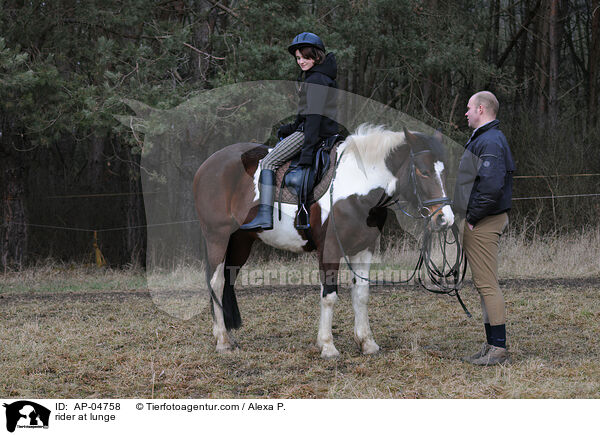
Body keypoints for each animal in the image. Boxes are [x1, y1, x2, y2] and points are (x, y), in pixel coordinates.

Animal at [193, 123, 454, 358]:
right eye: (423, 171)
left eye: (444, 172)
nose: (445, 219)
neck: (357, 185)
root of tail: (207, 165)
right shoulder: (329, 250)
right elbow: (329, 296)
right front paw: (328, 346)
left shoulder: (364, 250)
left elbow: (361, 294)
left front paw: (367, 343)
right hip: (217, 238)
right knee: (216, 282)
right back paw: (222, 341)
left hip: (240, 243)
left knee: (228, 281)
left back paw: (227, 337)